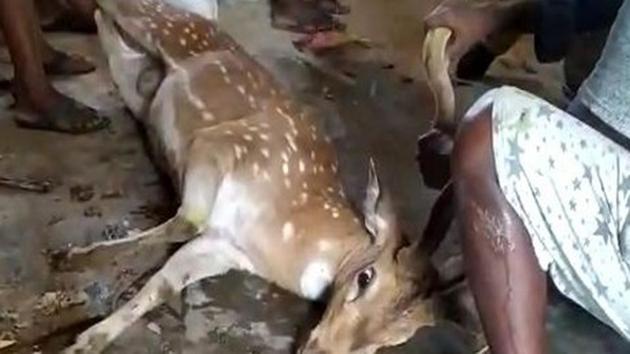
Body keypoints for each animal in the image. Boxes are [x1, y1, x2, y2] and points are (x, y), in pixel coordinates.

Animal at [61, 1, 442, 352]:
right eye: (365, 278)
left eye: (395, 340)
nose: (317, 349)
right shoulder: (223, 142)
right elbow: (190, 220)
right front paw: (77, 256)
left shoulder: (225, 252)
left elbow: (165, 281)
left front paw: (87, 340)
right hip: (157, 22)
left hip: (132, 68)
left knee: (110, 36)